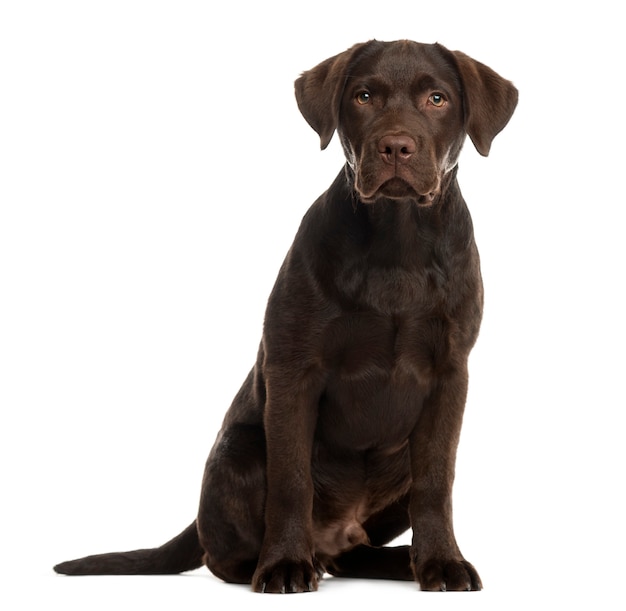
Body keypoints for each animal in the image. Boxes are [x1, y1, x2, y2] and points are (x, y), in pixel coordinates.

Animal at [53, 39, 516, 592]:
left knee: (351, 551)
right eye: (363, 96)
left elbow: (437, 481)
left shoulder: (449, 374)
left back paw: (394, 561)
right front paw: (283, 565)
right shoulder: (294, 370)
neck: (397, 240)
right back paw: (289, 559)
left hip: (393, 466)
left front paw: (442, 563)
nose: (396, 147)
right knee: (222, 553)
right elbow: (291, 480)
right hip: (240, 449)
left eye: (437, 99)